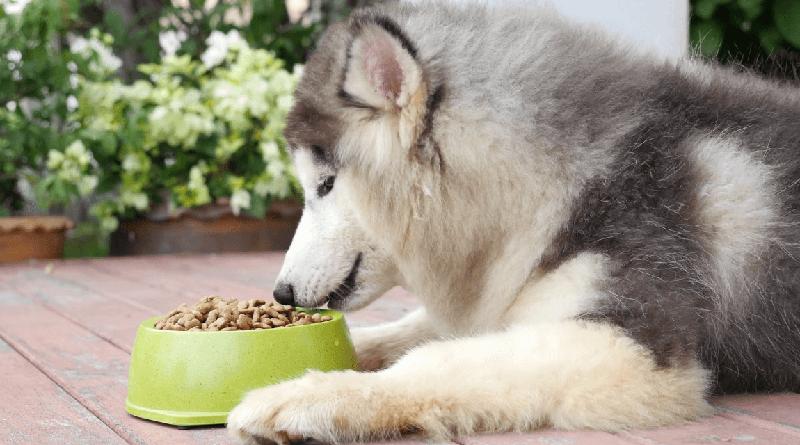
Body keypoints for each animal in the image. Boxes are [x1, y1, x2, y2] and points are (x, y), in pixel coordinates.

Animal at [225, 1, 800, 442]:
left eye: (324, 184)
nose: (280, 292)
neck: (562, 182)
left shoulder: (631, 342)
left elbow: (437, 360)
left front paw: (311, 395)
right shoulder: (504, 290)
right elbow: (395, 334)